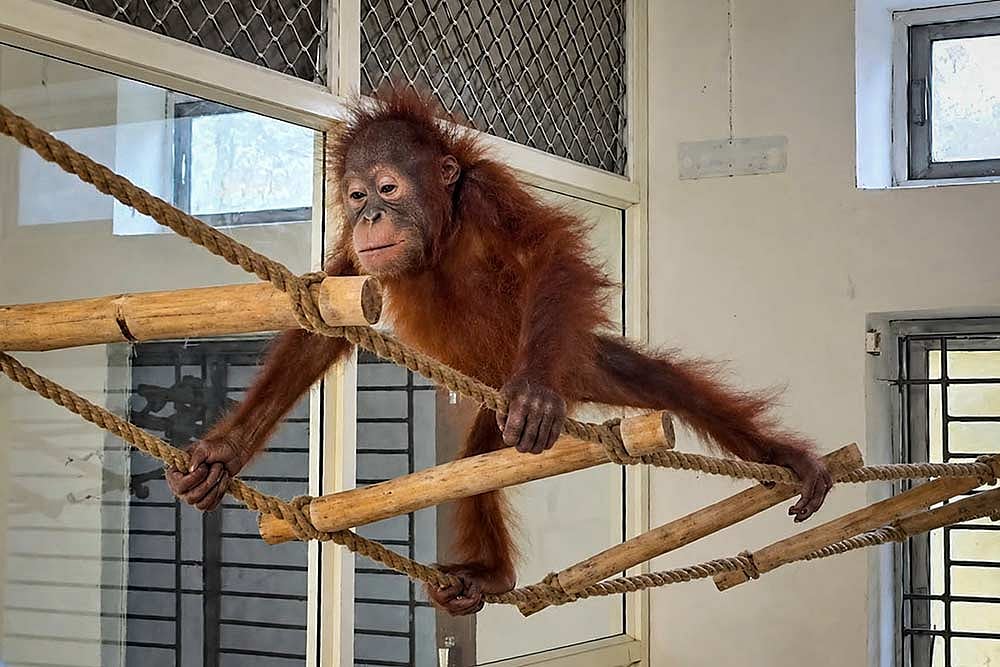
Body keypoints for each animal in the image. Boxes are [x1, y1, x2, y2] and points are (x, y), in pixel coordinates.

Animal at [166, 87, 832, 616]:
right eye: (356, 196)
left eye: (388, 187)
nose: (372, 214)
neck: (441, 233)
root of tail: (573, 383)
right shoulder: (360, 257)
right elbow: (322, 326)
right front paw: (224, 453)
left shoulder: (488, 194)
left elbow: (547, 253)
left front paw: (533, 392)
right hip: (505, 406)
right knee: (476, 467)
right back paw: (490, 577)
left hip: (571, 360)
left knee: (669, 386)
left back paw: (785, 459)